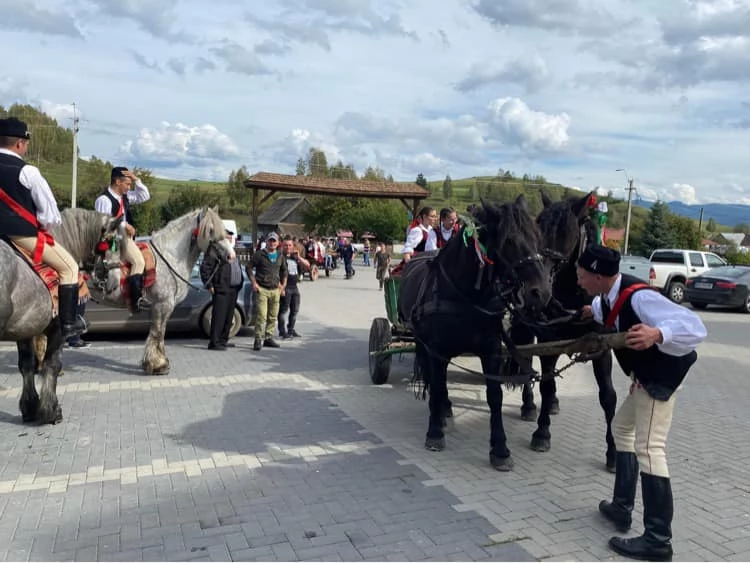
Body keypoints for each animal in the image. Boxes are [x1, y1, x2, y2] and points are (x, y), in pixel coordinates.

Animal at [0, 209, 122, 426]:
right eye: (111, 241)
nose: (114, 284)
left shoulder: (25, 329)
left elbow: (27, 365)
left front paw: (30, 407)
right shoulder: (57, 330)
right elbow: (52, 365)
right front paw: (52, 410)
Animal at [400, 196, 552, 470]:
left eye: (538, 238)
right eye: (509, 240)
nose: (542, 292)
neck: (465, 294)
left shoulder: (490, 349)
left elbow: (495, 396)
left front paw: (500, 449)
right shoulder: (435, 349)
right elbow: (436, 386)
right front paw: (434, 433)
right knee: (435, 379)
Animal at [516, 192, 616, 474]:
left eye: (566, 231)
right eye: (538, 227)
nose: (535, 290)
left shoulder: (602, 348)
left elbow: (608, 397)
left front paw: (613, 452)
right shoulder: (548, 340)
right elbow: (546, 384)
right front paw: (542, 433)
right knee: (525, 365)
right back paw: (529, 406)